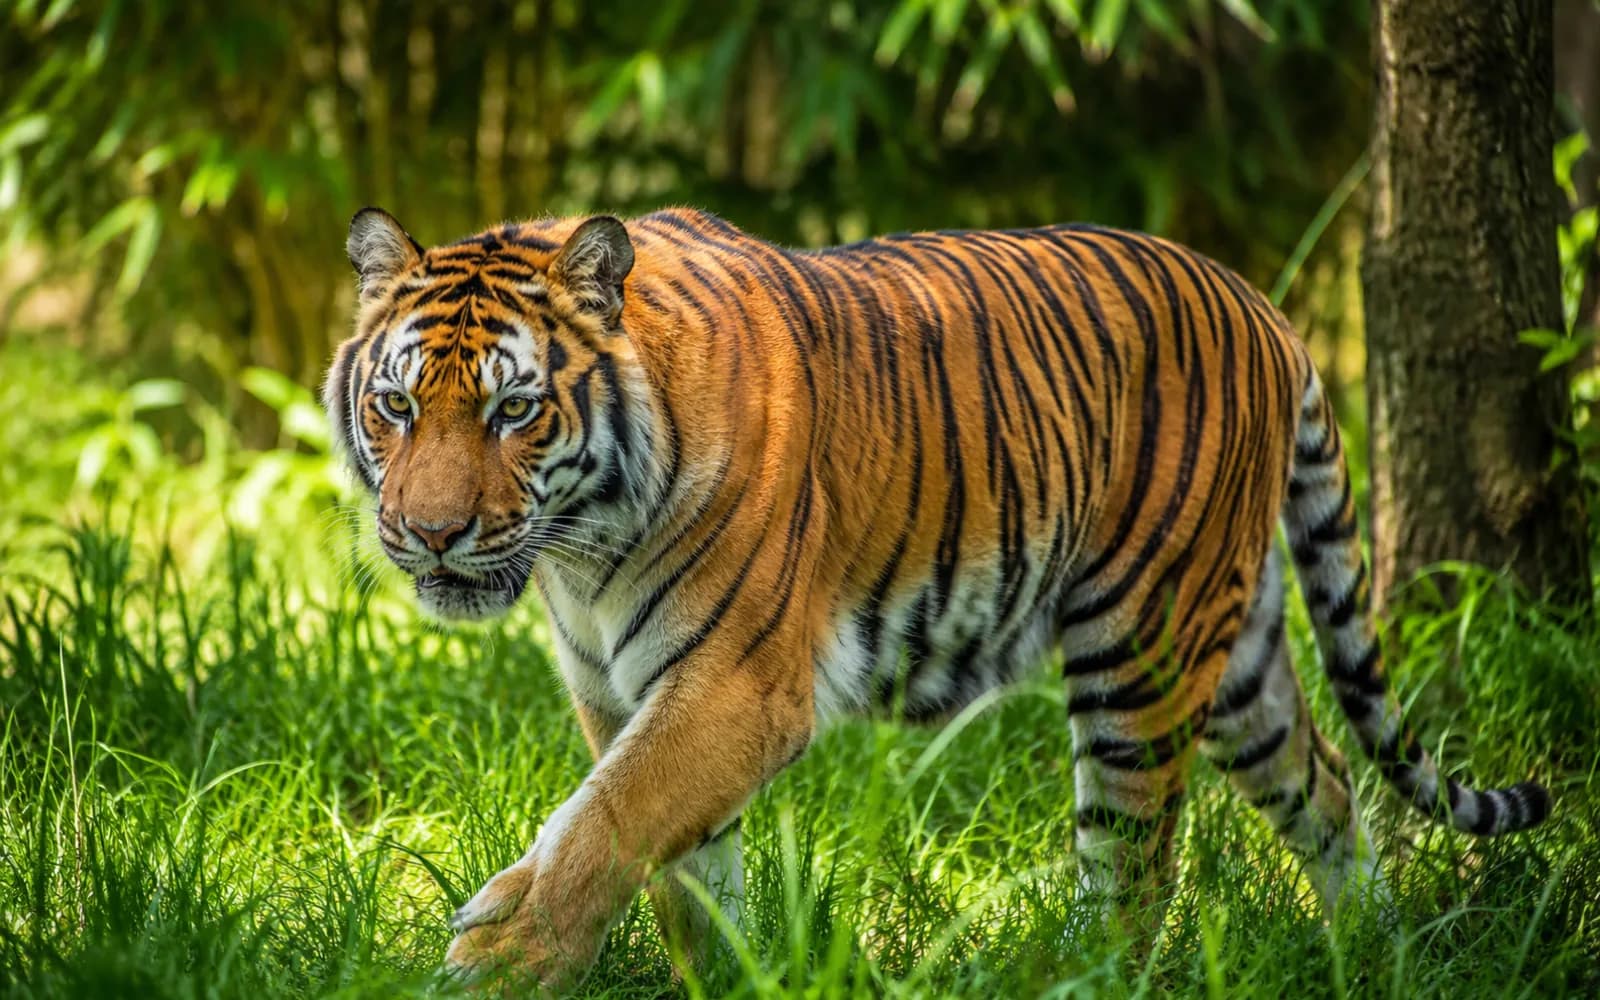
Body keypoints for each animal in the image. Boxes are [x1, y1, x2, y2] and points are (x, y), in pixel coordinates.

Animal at [322, 205, 1550, 988]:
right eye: (396, 406)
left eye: (513, 411)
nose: (429, 534)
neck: (580, 548)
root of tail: (1265, 306)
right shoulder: (616, 691)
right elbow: (681, 868)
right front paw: (719, 976)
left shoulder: (737, 686)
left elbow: (606, 821)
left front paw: (497, 955)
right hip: (1236, 653)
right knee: (1328, 785)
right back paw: (1375, 952)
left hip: (1141, 647)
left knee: (1134, 868)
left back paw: (1066, 971)